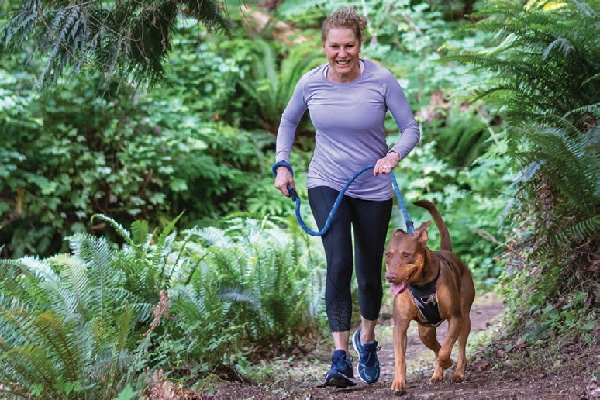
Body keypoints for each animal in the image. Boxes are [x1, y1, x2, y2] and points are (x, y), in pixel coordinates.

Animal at [386, 200, 476, 394]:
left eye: (406, 254)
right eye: (388, 254)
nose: (389, 277)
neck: (421, 284)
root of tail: (448, 251)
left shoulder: (455, 318)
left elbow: (446, 349)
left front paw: (447, 362)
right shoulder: (400, 325)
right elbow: (400, 357)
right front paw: (399, 382)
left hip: (465, 317)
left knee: (460, 345)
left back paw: (458, 372)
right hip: (425, 330)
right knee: (433, 344)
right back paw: (437, 374)